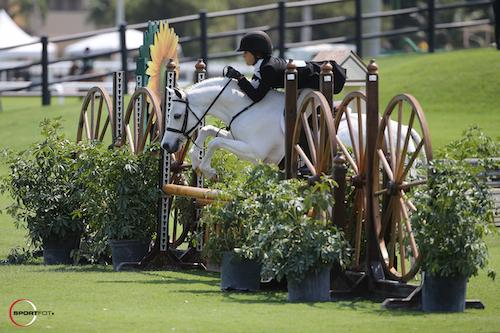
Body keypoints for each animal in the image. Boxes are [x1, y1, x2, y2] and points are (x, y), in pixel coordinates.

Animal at [162, 76, 420, 178]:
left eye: (176, 115)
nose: (166, 146)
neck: (247, 106)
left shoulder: (254, 152)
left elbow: (216, 140)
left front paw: (208, 170)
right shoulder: (238, 137)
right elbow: (209, 132)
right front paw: (197, 162)